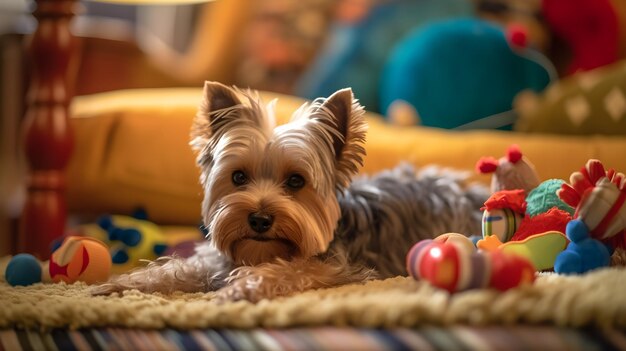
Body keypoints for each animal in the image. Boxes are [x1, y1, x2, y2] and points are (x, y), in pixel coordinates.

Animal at [91, 82, 488, 302]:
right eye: (238, 177)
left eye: (296, 182)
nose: (259, 218)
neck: (261, 252)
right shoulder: (216, 259)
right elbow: (178, 268)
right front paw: (118, 284)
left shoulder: (341, 270)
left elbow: (289, 271)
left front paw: (239, 288)